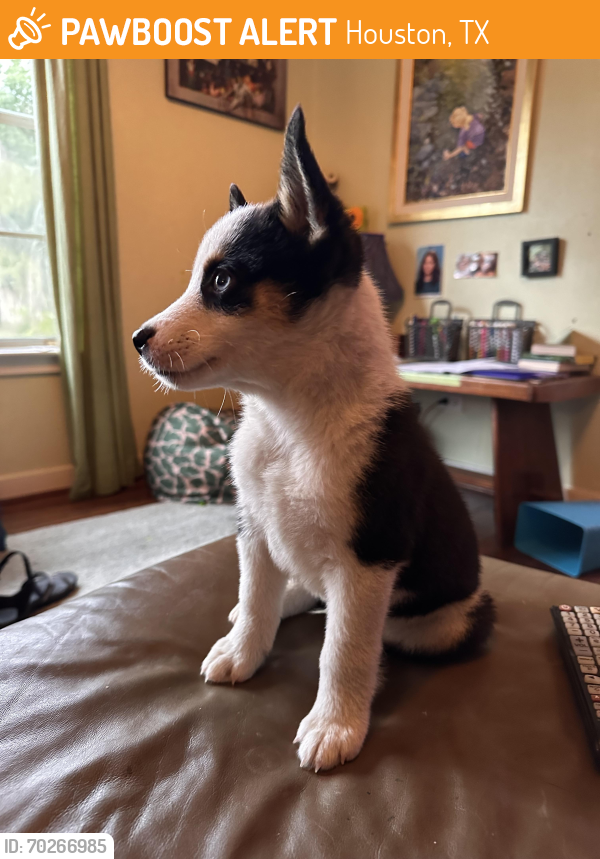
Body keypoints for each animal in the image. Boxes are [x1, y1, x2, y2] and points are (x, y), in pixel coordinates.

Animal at [134, 106, 494, 772]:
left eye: (221, 280)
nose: (139, 339)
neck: (288, 421)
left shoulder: (368, 560)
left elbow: (343, 648)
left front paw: (335, 724)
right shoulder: (253, 528)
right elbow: (255, 599)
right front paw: (242, 650)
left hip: (450, 621)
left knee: (383, 628)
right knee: (290, 589)